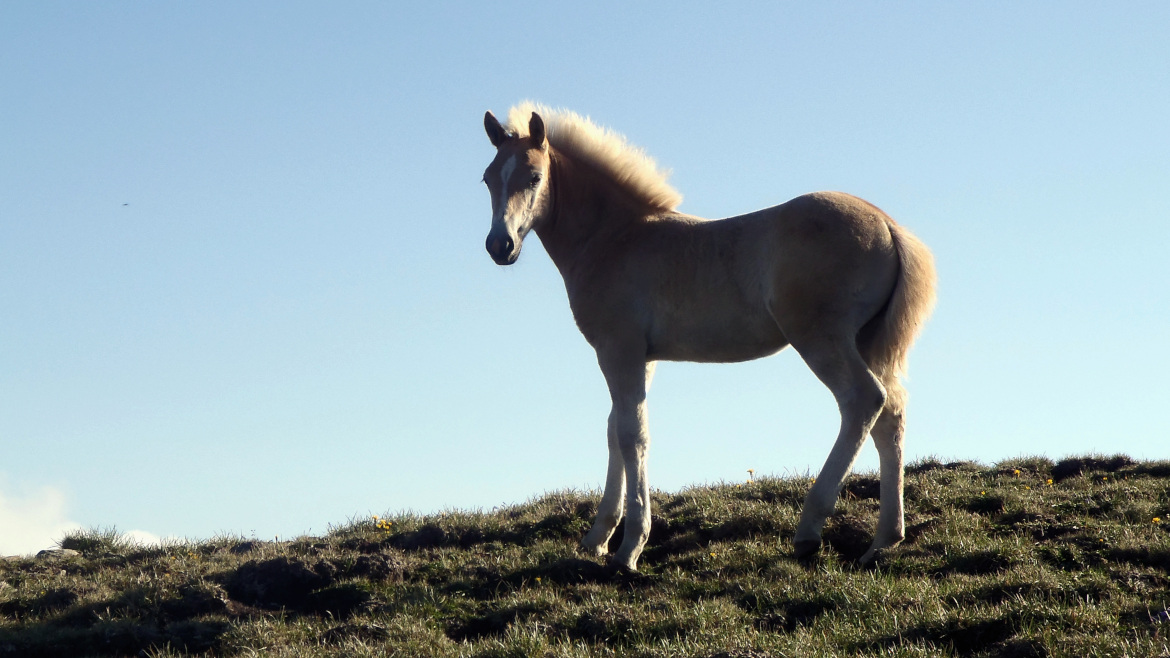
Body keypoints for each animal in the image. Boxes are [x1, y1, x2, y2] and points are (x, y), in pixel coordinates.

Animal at [480, 103, 936, 571]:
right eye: (488, 178)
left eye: (534, 177)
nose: (500, 246)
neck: (613, 237)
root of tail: (888, 224)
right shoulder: (641, 356)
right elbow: (614, 430)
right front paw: (598, 538)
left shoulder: (618, 348)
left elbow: (632, 434)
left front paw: (629, 548)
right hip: (867, 340)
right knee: (891, 414)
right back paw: (883, 540)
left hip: (821, 338)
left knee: (863, 400)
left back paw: (810, 530)